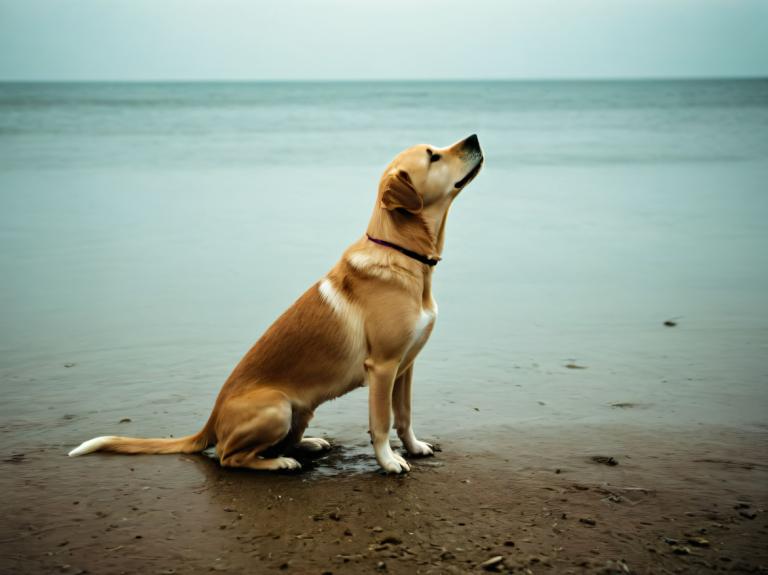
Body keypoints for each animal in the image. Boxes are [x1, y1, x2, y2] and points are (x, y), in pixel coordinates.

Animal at [69, 136, 484, 476]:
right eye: (433, 156)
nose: (475, 138)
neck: (403, 254)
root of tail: (211, 420)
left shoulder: (405, 367)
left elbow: (405, 416)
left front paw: (413, 448)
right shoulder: (382, 367)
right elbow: (381, 423)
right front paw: (389, 461)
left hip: (302, 409)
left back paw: (308, 444)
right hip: (277, 407)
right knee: (228, 457)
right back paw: (280, 462)